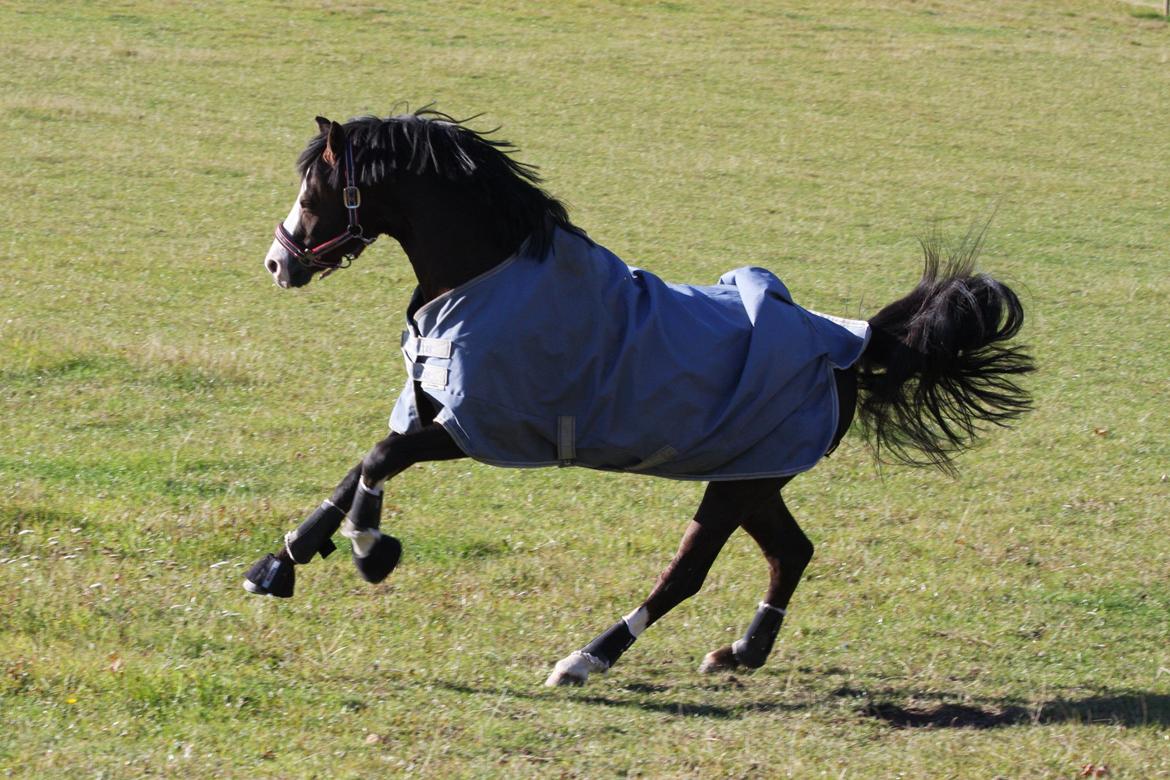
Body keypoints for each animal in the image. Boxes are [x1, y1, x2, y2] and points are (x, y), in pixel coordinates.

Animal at [249, 111, 1034, 687]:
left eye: (314, 191)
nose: (278, 263)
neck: (481, 279)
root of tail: (851, 343)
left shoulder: (474, 428)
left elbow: (380, 460)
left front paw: (371, 551)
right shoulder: (428, 407)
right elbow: (356, 468)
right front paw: (280, 564)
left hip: (736, 485)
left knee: (686, 573)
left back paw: (586, 658)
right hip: (753, 475)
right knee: (793, 551)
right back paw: (741, 652)